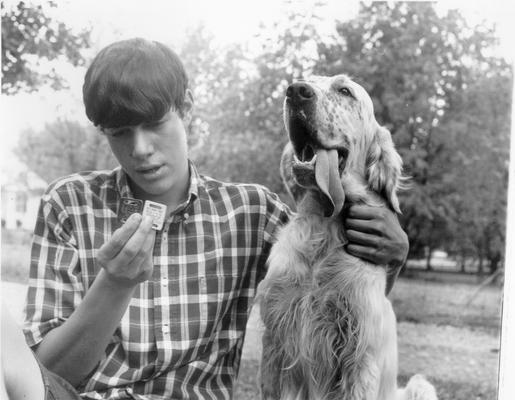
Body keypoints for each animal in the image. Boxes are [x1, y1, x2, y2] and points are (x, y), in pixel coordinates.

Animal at [256, 76, 436, 400]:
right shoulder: (276, 340)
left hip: (419, 385)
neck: (323, 227)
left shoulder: (359, 354)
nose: (296, 91)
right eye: (306, 80)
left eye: (345, 91)